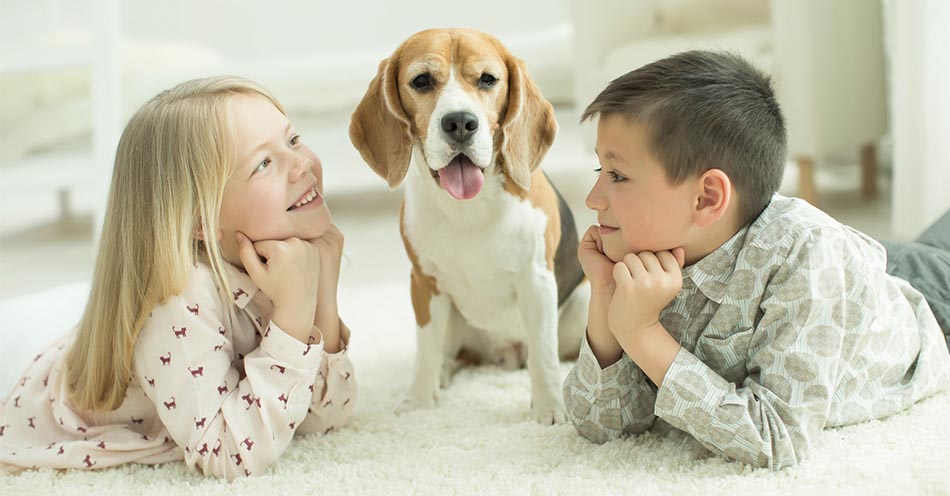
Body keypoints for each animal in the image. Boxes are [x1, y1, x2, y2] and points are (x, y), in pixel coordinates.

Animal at [350, 28, 588, 422]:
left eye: (488, 79)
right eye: (421, 80)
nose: (460, 122)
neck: (468, 207)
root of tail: (503, 353)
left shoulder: (537, 280)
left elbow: (543, 354)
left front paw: (550, 408)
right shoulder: (424, 284)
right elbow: (426, 349)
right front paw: (419, 400)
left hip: (583, 302)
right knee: (450, 355)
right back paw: (443, 375)